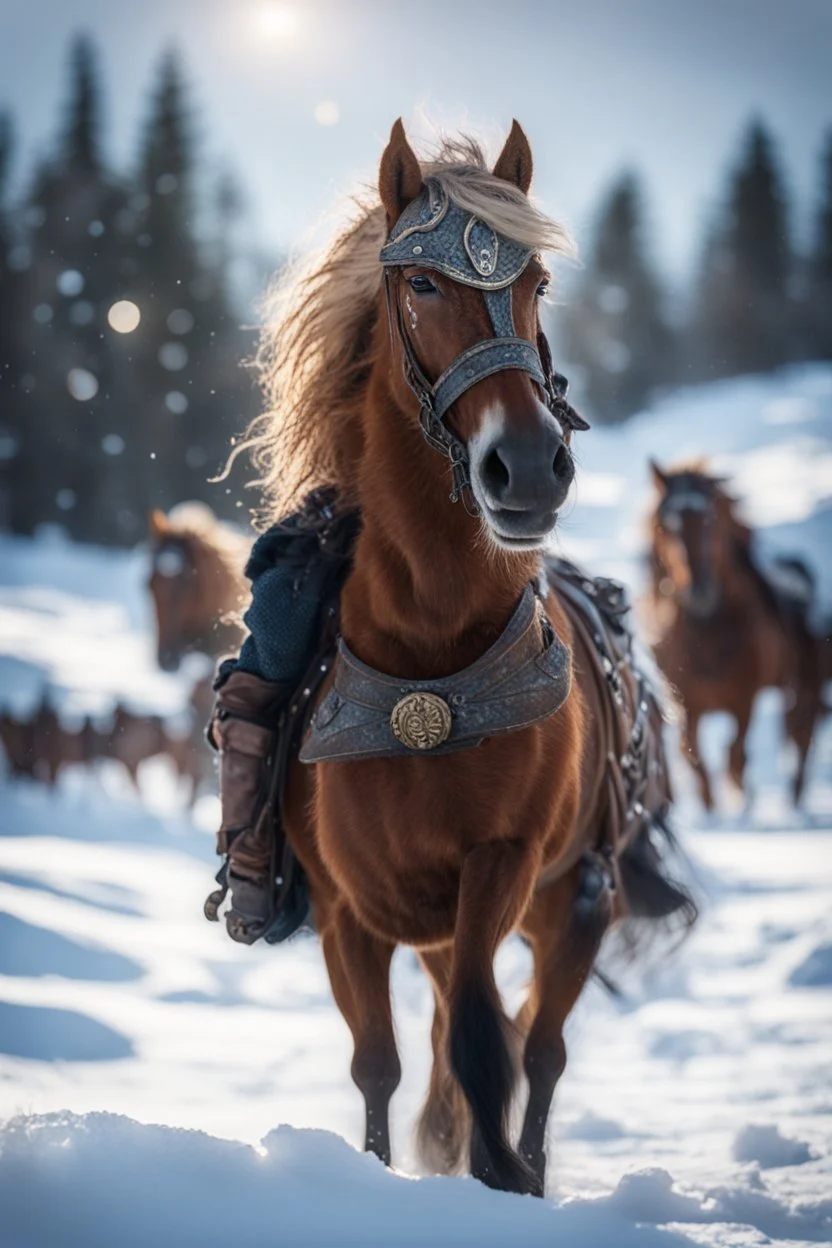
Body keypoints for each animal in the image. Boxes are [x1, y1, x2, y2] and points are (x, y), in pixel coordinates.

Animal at [240, 119, 698, 1198]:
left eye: (536, 281)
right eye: (421, 284)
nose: (526, 467)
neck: (427, 651)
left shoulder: (502, 865)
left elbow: (491, 1047)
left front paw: (504, 1177)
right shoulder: (348, 910)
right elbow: (379, 1061)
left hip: (568, 903)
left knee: (539, 1049)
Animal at [648, 461, 823, 808]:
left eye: (711, 520)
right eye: (666, 526)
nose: (699, 593)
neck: (707, 637)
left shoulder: (744, 700)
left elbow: (735, 756)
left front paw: (742, 801)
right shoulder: (686, 704)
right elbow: (695, 760)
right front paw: (713, 809)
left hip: (807, 686)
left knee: (802, 736)